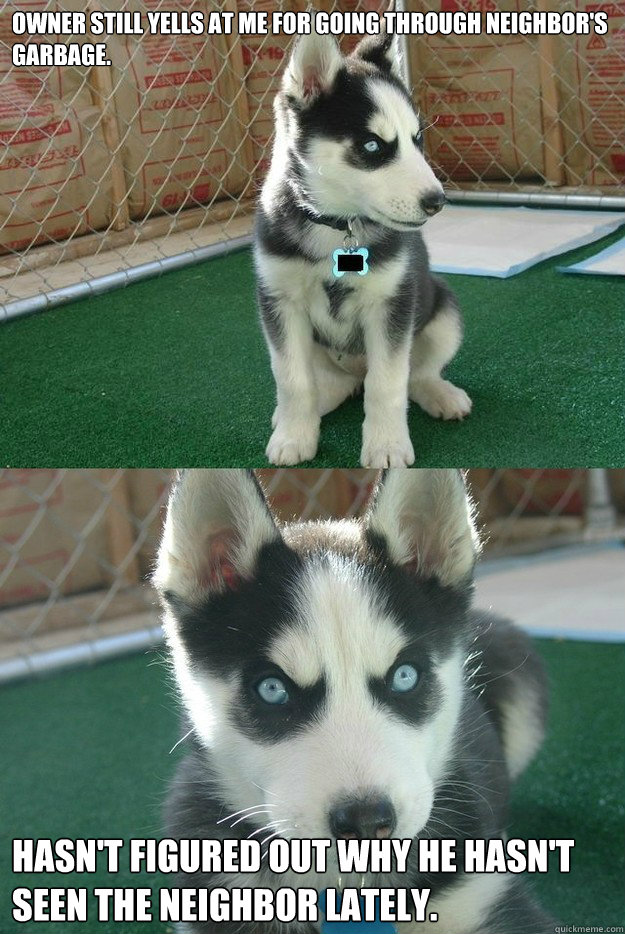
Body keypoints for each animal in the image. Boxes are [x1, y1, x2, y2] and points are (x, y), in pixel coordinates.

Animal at [251, 31, 470, 468]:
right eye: (372, 146)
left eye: (417, 140)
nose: (437, 202)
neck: (337, 225)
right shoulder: (280, 301)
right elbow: (292, 378)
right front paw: (294, 436)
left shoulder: (391, 304)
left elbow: (387, 383)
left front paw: (386, 445)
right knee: (332, 384)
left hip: (444, 313)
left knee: (414, 375)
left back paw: (440, 394)